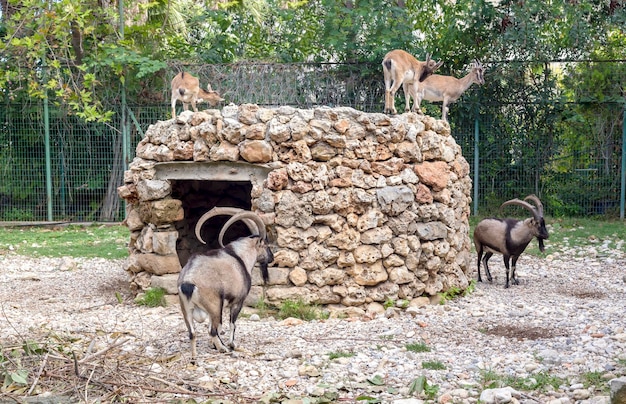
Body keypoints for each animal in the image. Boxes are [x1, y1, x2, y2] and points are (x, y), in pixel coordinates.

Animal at [177, 208, 272, 360]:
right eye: (266, 245)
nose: (271, 258)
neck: (240, 257)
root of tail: (188, 281)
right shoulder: (237, 302)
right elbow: (232, 324)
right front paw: (232, 344)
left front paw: (213, 345)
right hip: (215, 305)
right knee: (212, 330)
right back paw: (224, 349)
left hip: (186, 309)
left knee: (193, 333)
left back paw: (194, 358)